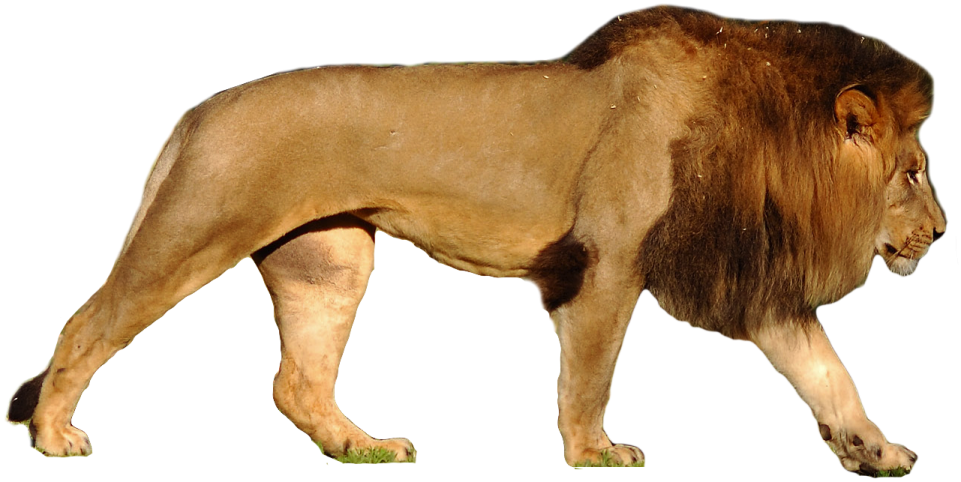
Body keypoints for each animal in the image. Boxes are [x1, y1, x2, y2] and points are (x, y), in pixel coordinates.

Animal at [4, 4, 946, 473]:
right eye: (911, 173)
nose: (939, 236)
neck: (769, 141)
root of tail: (199, 108)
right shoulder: (606, 262)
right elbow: (591, 374)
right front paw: (594, 455)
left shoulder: (747, 278)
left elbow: (827, 374)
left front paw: (873, 450)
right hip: (196, 230)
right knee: (84, 329)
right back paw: (53, 437)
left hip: (330, 262)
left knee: (296, 382)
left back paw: (363, 449)